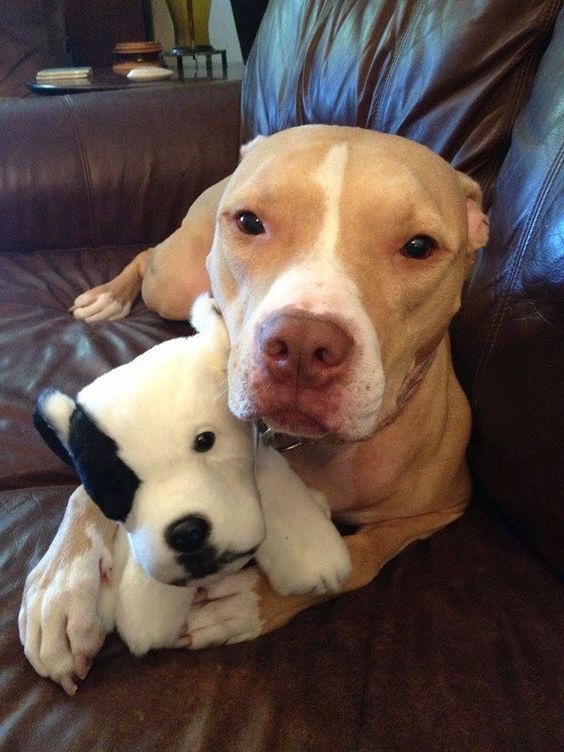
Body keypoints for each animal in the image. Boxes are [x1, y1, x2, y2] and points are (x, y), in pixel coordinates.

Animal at [20, 125, 490, 692]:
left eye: (419, 247)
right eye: (249, 222)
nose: (303, 344)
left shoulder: (442, 508)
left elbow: (360, 557)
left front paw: (249, 602)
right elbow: (90, 479)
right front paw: (61, 587)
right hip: (172, 283)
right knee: (150, 255)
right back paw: (109, 296)